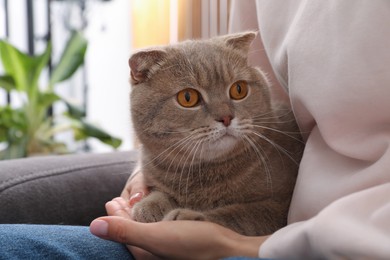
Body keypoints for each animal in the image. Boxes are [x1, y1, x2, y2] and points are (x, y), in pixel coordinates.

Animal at [128, 32, 304, 236]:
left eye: (239, 89)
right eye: (187, 97)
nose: (226, 117)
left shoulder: (280, 206)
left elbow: (238, 214)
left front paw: (189, 216)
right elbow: (160, 192)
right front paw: (149, 205)